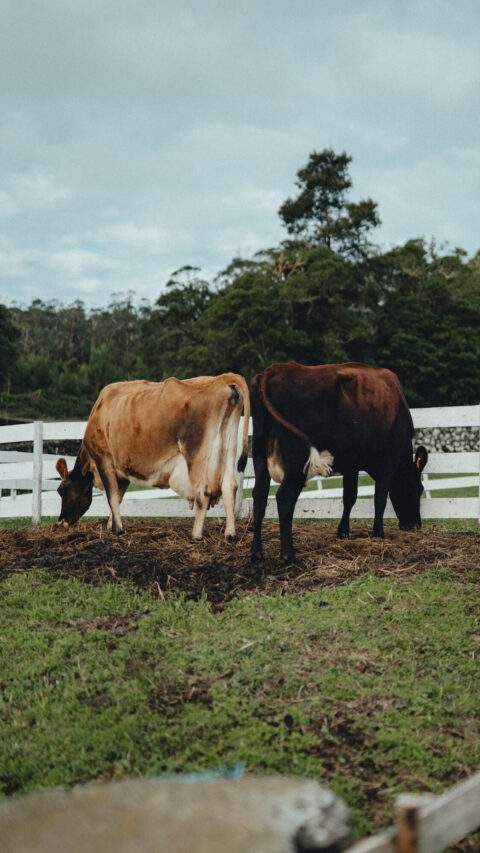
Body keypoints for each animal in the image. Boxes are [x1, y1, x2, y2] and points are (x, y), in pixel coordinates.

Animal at [55, 374, 249, 540]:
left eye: (61, 490)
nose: (60, 522)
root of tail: (222, 381)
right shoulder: (122, 469)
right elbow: (118, 496)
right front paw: (112, 525)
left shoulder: (104, 458)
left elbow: (112, 496)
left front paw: (117, 529)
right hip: (229, 447)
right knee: (229, 487)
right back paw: (230, 534)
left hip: (195, 454)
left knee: (202, 492)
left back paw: (196, 534)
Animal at [251, 362, 428, 564]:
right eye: (419, 489)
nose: (415, 525)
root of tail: (279, 367)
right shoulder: (388, 463)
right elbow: (380, 499)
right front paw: (378, 534)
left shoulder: (352, 464)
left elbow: (350, 496)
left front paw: (343, 532)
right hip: (297, 462)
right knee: (284, 497)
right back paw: (289, 555)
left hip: (259, 454)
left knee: (259, 495)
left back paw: (256, 553)